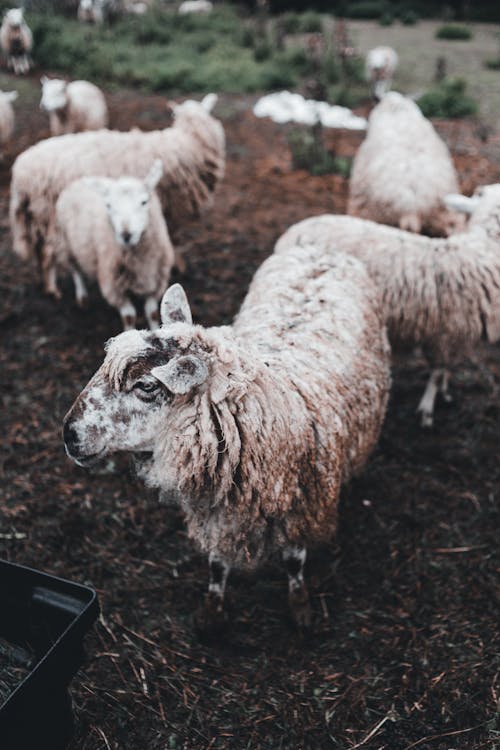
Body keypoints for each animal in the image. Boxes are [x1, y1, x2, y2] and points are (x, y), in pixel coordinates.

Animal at [10, 93, 225, 294]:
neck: (190, 140)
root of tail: (20, 171)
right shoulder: (173, 207)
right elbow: (175, 239)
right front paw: (178, 266)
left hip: (37, 217)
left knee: (39, 251)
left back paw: (43, 282)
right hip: (48, 215)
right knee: (47, 251)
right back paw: (52, 288)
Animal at [49, 162, 173, 332]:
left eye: (144, 202)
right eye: (108, 205)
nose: (126, 235)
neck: (139, 261)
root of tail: (76, 181)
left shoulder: (155, 281)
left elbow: (152, 313)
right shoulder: (114, 285)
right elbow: (129, 317)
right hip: (67, 243)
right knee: (75, 270)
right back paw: (82, 298)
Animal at [276, 184, 500, 428]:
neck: (482, 249)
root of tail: (292, 231)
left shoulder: (452, 337)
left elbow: (445, 370)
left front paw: (444, 392)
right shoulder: (446, 333)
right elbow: (437, 371)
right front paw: (427, 410)